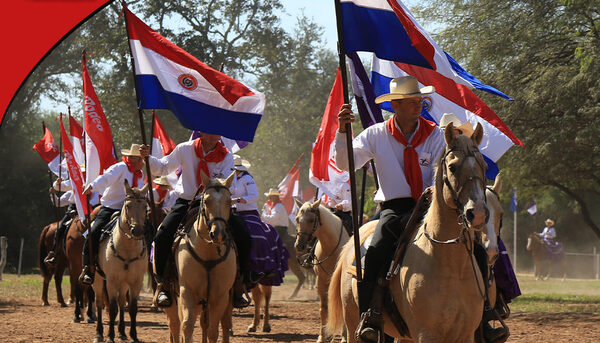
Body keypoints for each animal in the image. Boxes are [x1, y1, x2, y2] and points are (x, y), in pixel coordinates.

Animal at [91, 180, 149, 343]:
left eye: (145, 207)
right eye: (128, 206)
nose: (137, 231)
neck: (127, 248)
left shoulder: (136, 282)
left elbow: (132, 309)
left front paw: (133, 336)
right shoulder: (112, 281)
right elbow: (112, 308)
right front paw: (110, 336)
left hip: (124, 284)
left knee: (122, 302)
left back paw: (122, 332)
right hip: (97, 279)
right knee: (99, 303)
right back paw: (99, 334)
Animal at [164, 172, 239, 343]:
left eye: (228, 201)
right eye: (206, 200)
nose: (218, 234)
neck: (208, 254)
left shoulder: (220, 297)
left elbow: (213, 330)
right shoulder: (187, 292)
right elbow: (187, 326)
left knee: (221, 324)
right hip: (174, 299)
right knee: (175, 325)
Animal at [294, 199, 350, 343]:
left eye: (311, 219)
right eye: (297, 219)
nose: (299, 245)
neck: (332, 246)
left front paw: (344, 337)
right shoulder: (321, 280)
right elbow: (324, 308)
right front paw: (323, 336)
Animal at [328, 123, 488, 343]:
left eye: (484, 166)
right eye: (452, 167)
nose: (477, 212)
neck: (451, 265)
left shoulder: (465, 335)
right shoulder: (426, 334)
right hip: (353, 325)